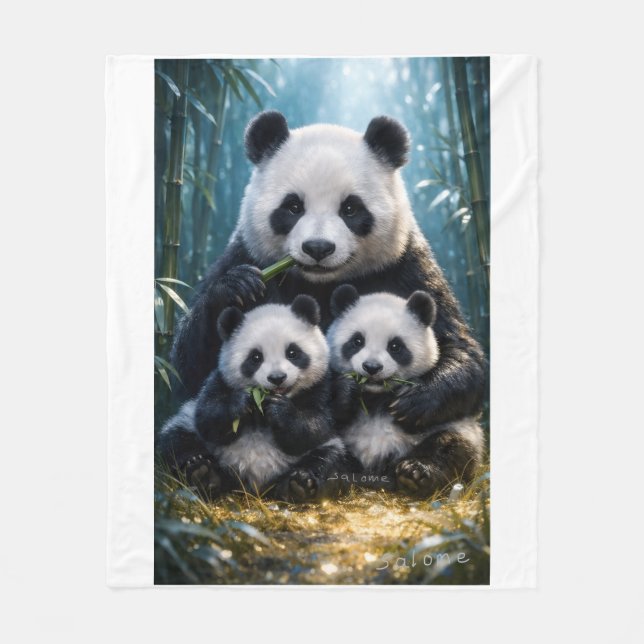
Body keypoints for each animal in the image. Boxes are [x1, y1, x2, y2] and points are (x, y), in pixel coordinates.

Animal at [158, 295, 345, 502]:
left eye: (292, 353)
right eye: (256, 357)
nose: (277, 378)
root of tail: (255, 484)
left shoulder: (321, 388)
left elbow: (314, 426)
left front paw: (279, 411)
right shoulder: (219, 380)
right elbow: (207, 417)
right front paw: (243, 402)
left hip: (320, 452)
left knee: (328, 461)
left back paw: (297, 485)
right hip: (195, 434)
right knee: (177, 440)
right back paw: (203, 473)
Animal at [169, 110, 486, 469]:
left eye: (350, 208)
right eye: (293, 207)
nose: (318, 248)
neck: (321, 282)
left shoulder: (407, 266)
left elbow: (463, 353)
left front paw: (415, 398)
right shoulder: (247, 255)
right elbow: (188, 367)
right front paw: (236, 287)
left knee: (454, 439)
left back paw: (421, 469)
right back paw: (199, 467)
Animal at [327, 285, 484, 496]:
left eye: (395, 346)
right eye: (357, 341)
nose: (372, 367)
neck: (376, 397)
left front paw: (412, 403)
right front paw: (348, 391)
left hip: (452, 432)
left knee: (450, 447)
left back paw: (415, 472)